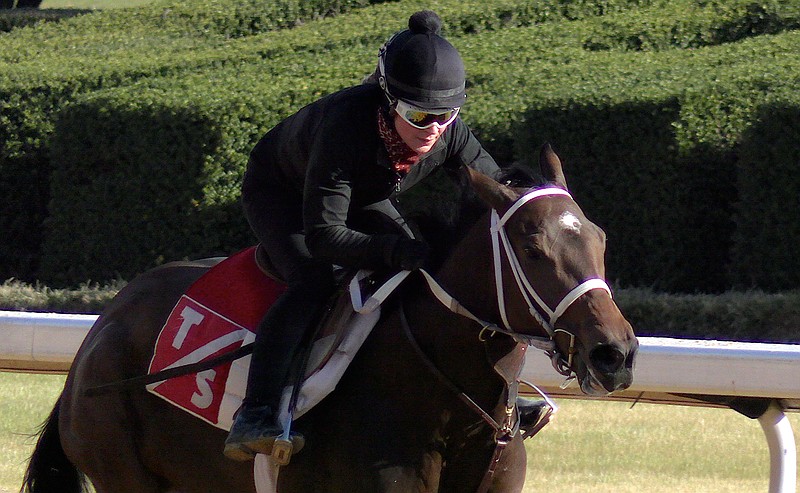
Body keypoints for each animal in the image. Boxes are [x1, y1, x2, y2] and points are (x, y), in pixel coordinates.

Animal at [21, 143, 636, 492]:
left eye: (601, 238)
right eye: (532, 250)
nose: (616, 354)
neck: (450, 412)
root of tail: (96, 336)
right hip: (124, 471)